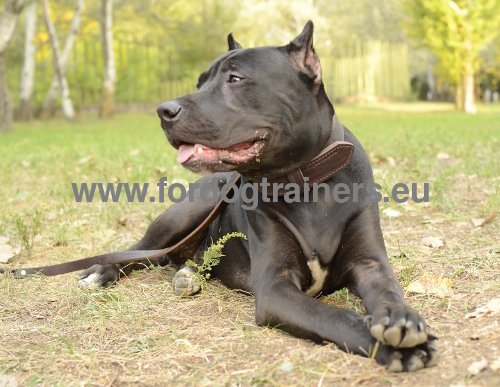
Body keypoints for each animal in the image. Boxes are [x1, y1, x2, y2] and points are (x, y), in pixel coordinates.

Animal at [79, 21, 438, 372]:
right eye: (200, 82)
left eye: (236, 79)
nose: (163, 111)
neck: (307, 182)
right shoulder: (276, 289)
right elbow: (335, 317)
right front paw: (394, 348)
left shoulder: (369, 264)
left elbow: (388, 290)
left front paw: (401, 318)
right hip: (189, 210)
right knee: (139, 250)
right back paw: (101, 272)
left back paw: (188, 275)